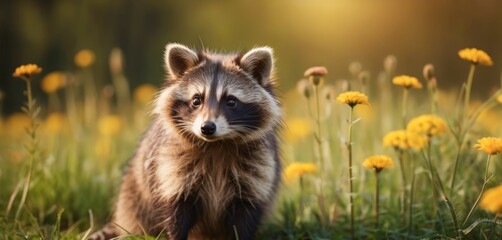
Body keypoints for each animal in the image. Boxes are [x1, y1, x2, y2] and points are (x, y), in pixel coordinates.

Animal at [90, 43, 282, 240]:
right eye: (197, 100)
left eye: (231, 101)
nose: (207, 127)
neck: (216, 144)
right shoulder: (171, 168)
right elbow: (177, 213)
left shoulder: (256, 172)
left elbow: (245, 218)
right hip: (133, 201)